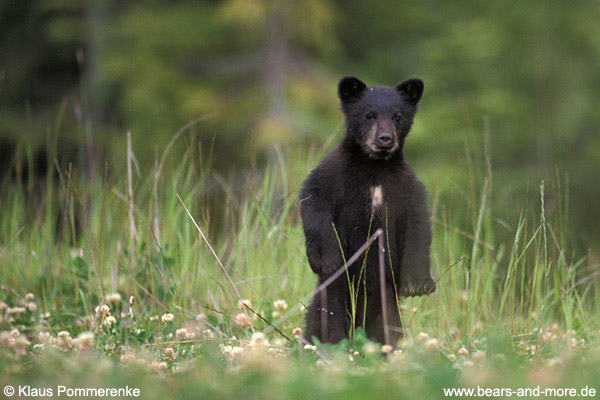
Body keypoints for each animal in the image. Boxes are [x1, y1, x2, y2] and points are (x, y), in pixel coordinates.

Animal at [302, 76, 434, 346]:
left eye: (397, 116)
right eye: (369, 115)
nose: (385, 138)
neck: (375, 167)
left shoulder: (408, 187)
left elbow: (418, 226)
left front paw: (418, 284)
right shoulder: (334, 175)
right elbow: (314, 203)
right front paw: (330, 260)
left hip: (386, 300)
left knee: (388, 327)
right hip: (334, 294)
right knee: (324, 319)